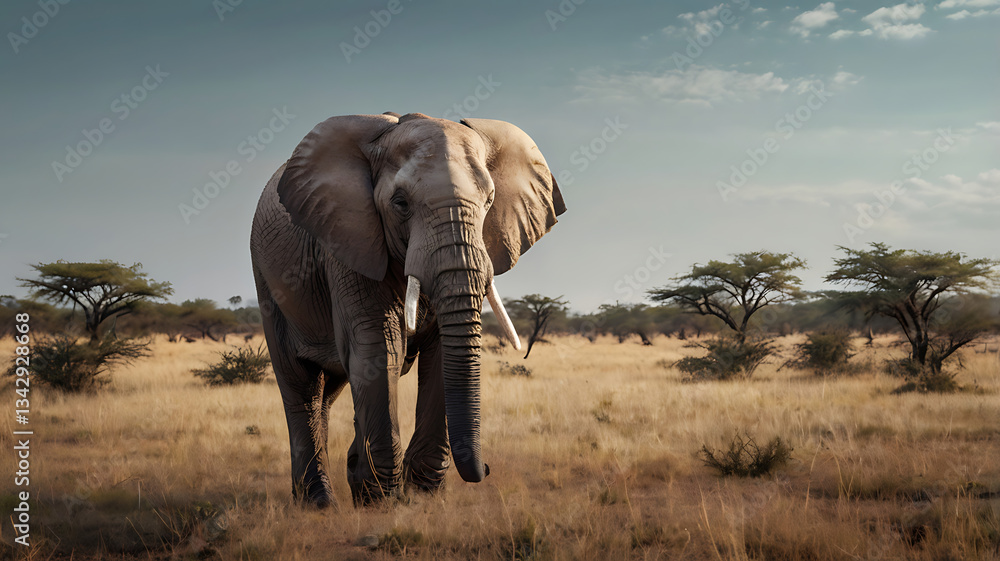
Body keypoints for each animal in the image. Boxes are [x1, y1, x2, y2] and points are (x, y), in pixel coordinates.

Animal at [249, 112, 565, 507]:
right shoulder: (348, 239)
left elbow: (441, 352)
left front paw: (422, 493)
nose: (487, 469)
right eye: (400, 203)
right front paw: (381, 500)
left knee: (328, 389)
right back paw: (318, 503)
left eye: (490, 199)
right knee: (300, 383)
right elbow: (378, 346)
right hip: (267, 280)